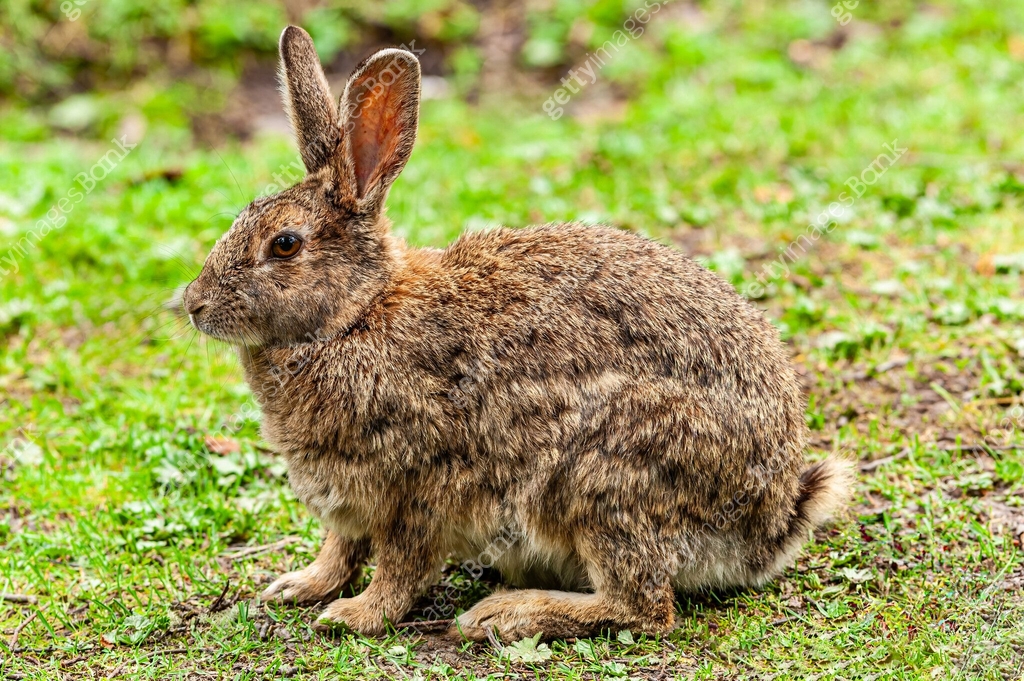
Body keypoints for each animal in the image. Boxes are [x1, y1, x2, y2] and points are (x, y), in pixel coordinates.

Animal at [182, 25, 853, 642]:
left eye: (284, 244)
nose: (193, 305)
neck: (357, 313)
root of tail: (771, 520)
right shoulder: (350, 505)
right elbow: (340, 549)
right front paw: (299, 585)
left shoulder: (417, 488)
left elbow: (400, 567)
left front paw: (355, 615)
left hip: (602, 475)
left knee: (643, 607)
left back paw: (502, 614)